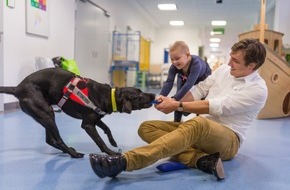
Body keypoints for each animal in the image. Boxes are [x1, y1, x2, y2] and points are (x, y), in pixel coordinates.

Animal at [0, 68, 155, 157]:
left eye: (141, 91)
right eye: (140, 96)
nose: (153, 95)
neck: (108, 95)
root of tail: (17, 88)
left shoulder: (95, 119)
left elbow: (107, 128)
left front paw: (113, 141)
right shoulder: (87, 125)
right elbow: (100, 141)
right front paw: (111, 153)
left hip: (45, 115)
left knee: (49, 140)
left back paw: (67, 150)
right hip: (47, 113)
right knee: (57, 139)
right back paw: (72, 153)